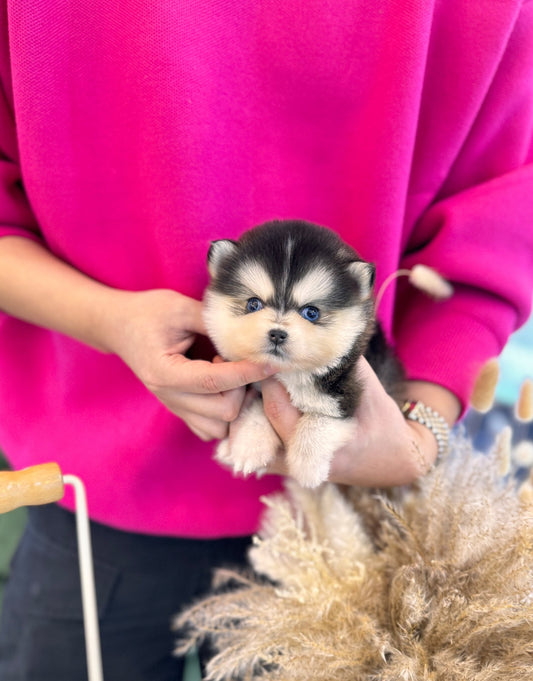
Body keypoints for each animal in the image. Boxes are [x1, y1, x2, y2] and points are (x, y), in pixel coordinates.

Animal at [202, 220, 402, 486]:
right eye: (253, 304)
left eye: (311, 312)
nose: (277, 334)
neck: (292, 374)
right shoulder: (259, 387)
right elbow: (257, 410)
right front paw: (249, 446)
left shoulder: (348, 397)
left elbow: (319, 419)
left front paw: (307, 465)